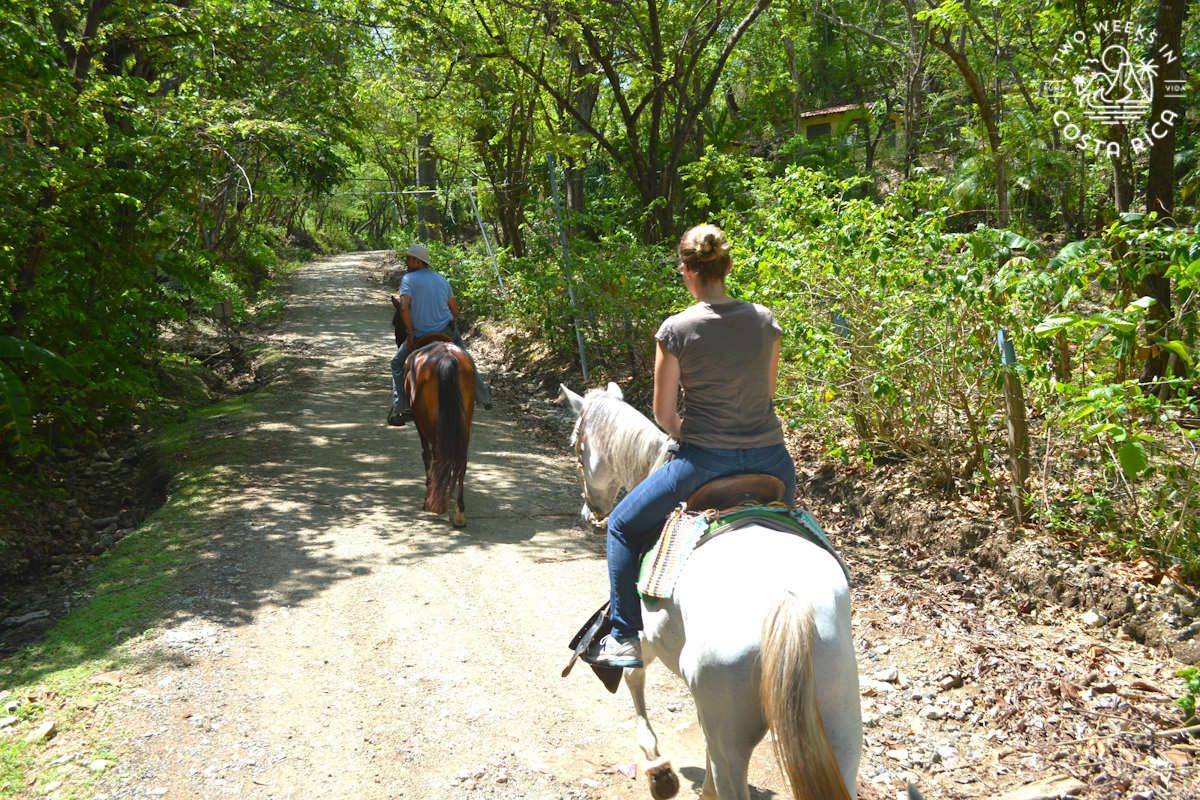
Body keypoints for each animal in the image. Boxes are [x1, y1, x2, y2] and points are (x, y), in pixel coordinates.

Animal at [405, 339, 476, 527]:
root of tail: (447, 357)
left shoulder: (419, 423)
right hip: (464, 422)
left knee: (437, 455)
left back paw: (432, 500)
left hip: (428, 421)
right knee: (461, 459)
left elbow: (426, 454)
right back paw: (459, 513)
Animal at [559, 384, 862, 800]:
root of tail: (787, 601)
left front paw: (659, 770)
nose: (588, 512)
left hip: (734, 737)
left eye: (577, 446)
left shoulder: (643, 634)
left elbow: (634, 676)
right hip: (841, 726)